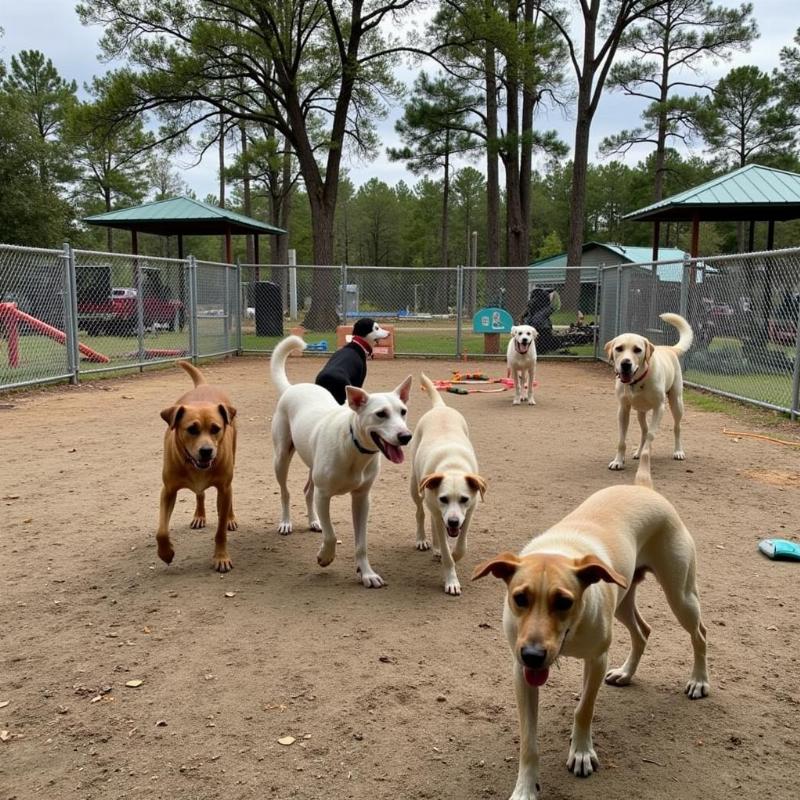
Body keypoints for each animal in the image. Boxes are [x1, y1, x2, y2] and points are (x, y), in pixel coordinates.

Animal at [157, 360, 238, 572]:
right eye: (191, 429)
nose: (207, 451)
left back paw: (231, 518)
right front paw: (166, 553)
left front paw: (221, 557)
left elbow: (220, 531)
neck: (194, 466)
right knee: (200, 494)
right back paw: (199, 515)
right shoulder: (168, 490)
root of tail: (203, 386)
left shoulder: (223, 489)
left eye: (216, 429)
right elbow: (161, 531)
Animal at [272, 332, 416, 588]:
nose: (406, 436)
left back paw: (314, 521)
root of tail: (292, 388)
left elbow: (361, 543)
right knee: (286, 492)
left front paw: (366, 573)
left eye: (403, 412)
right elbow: (331, 535)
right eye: (381, 414)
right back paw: (286, 522)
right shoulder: (324, 495)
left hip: (312, 465)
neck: (355, 449)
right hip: (281, 457)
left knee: (307, 490)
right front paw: (325, 557)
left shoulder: (361, 499)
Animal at [410, 374, 484, 592]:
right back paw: (423, 540)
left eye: (464, 499)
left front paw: (452, 555)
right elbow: (447, 551)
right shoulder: (439, 510)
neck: (452, 466)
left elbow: (461, 547)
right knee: (421, 513)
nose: (452, 522)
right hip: (416, 488)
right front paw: (451, 580)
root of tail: (439, 407)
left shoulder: (469, 513)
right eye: (444, 498)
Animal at [472, 476, 708, 800]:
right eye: (520, 598)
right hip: (622, 600)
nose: (533, 655)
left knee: (700, 635)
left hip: (680, 595)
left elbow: (584, 709)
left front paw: (581, 752)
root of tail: (642, 486)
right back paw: (626, 673)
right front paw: (525, 787)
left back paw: (699, 681)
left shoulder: (596, 659)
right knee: (643, 632)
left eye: (564, 601)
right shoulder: (522, 673)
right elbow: (529, 741)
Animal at [604, 310, 692, 472]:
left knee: (677, 427)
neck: (637, 381)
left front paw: (646, 459)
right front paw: (618, 461)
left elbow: (651, 434)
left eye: (637, 350)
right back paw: (639, 452)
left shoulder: (659, 408)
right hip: (641, 411)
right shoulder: (623, 409)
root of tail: (669, 348)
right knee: (643, 431)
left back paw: (678, 451)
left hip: (676, 403)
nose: (626, 364)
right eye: (619, 348)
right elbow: (622, 440)